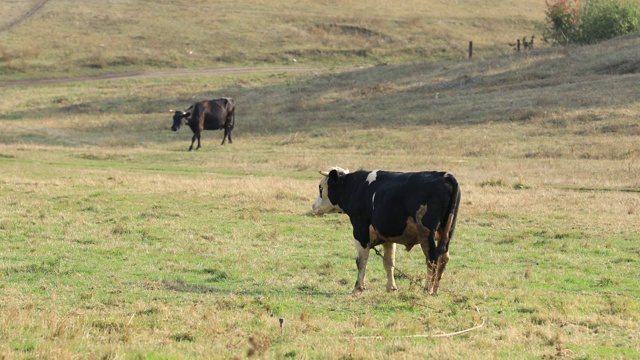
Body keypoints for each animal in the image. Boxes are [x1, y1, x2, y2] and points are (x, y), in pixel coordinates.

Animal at [312, 167, 458, 294]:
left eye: (321, 187)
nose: (314, 206)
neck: (355, 186)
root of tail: (444, 175)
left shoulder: (360, 230)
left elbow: (361, 260)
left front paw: (358, 287)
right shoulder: (387, 237)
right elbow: (389, 262)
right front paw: (391, 287)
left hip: (426, 233)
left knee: (432, 259)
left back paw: (428, 289)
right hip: (446, 232)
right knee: (443, 258)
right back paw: (436, 290)